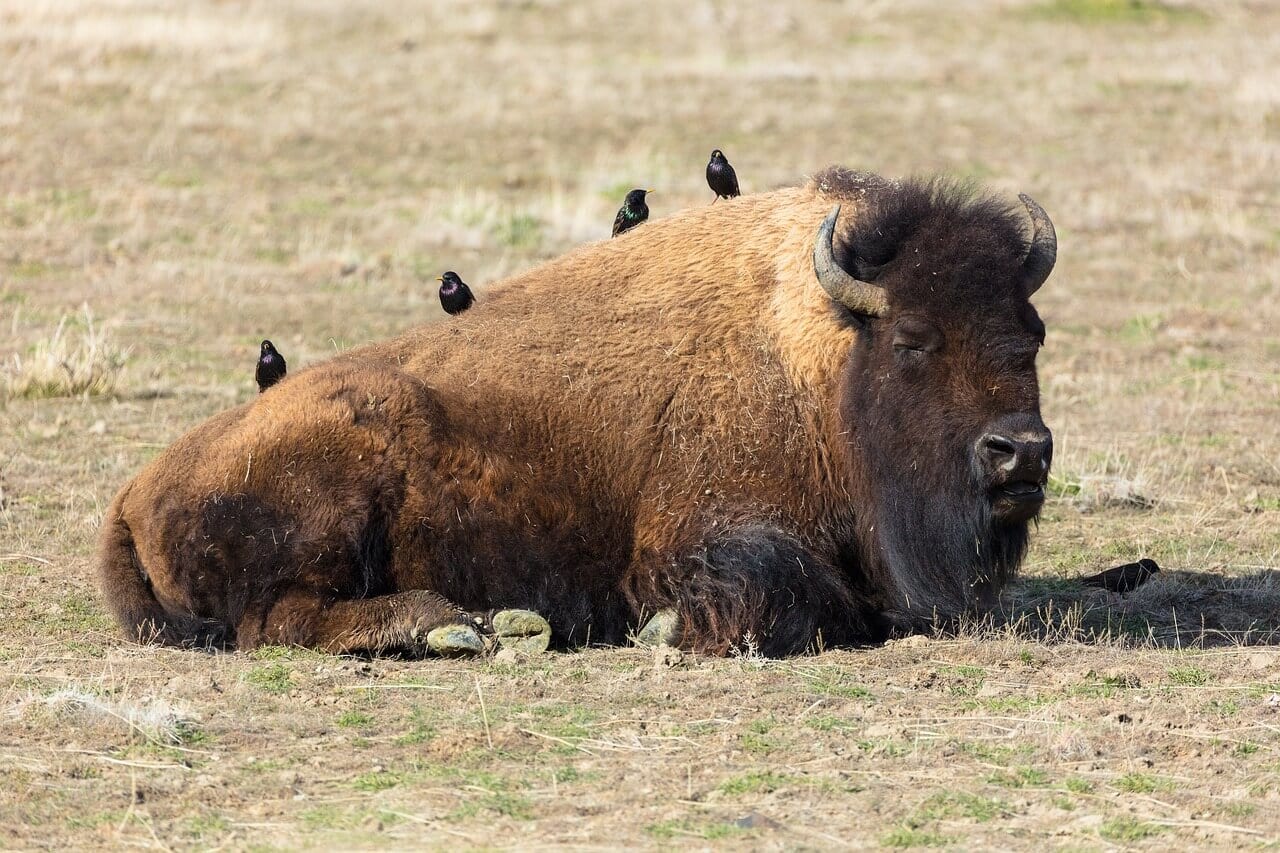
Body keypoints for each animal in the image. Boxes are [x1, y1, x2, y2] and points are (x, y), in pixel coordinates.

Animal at [99, 167, 1054, 655]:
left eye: (1033, 332)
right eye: (913, 340)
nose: (1021, 451)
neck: (817, 353)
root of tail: (132, 495)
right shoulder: (700, 535)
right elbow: (793, 597)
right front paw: (664, 626)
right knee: (283, 622)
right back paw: (459, 627)